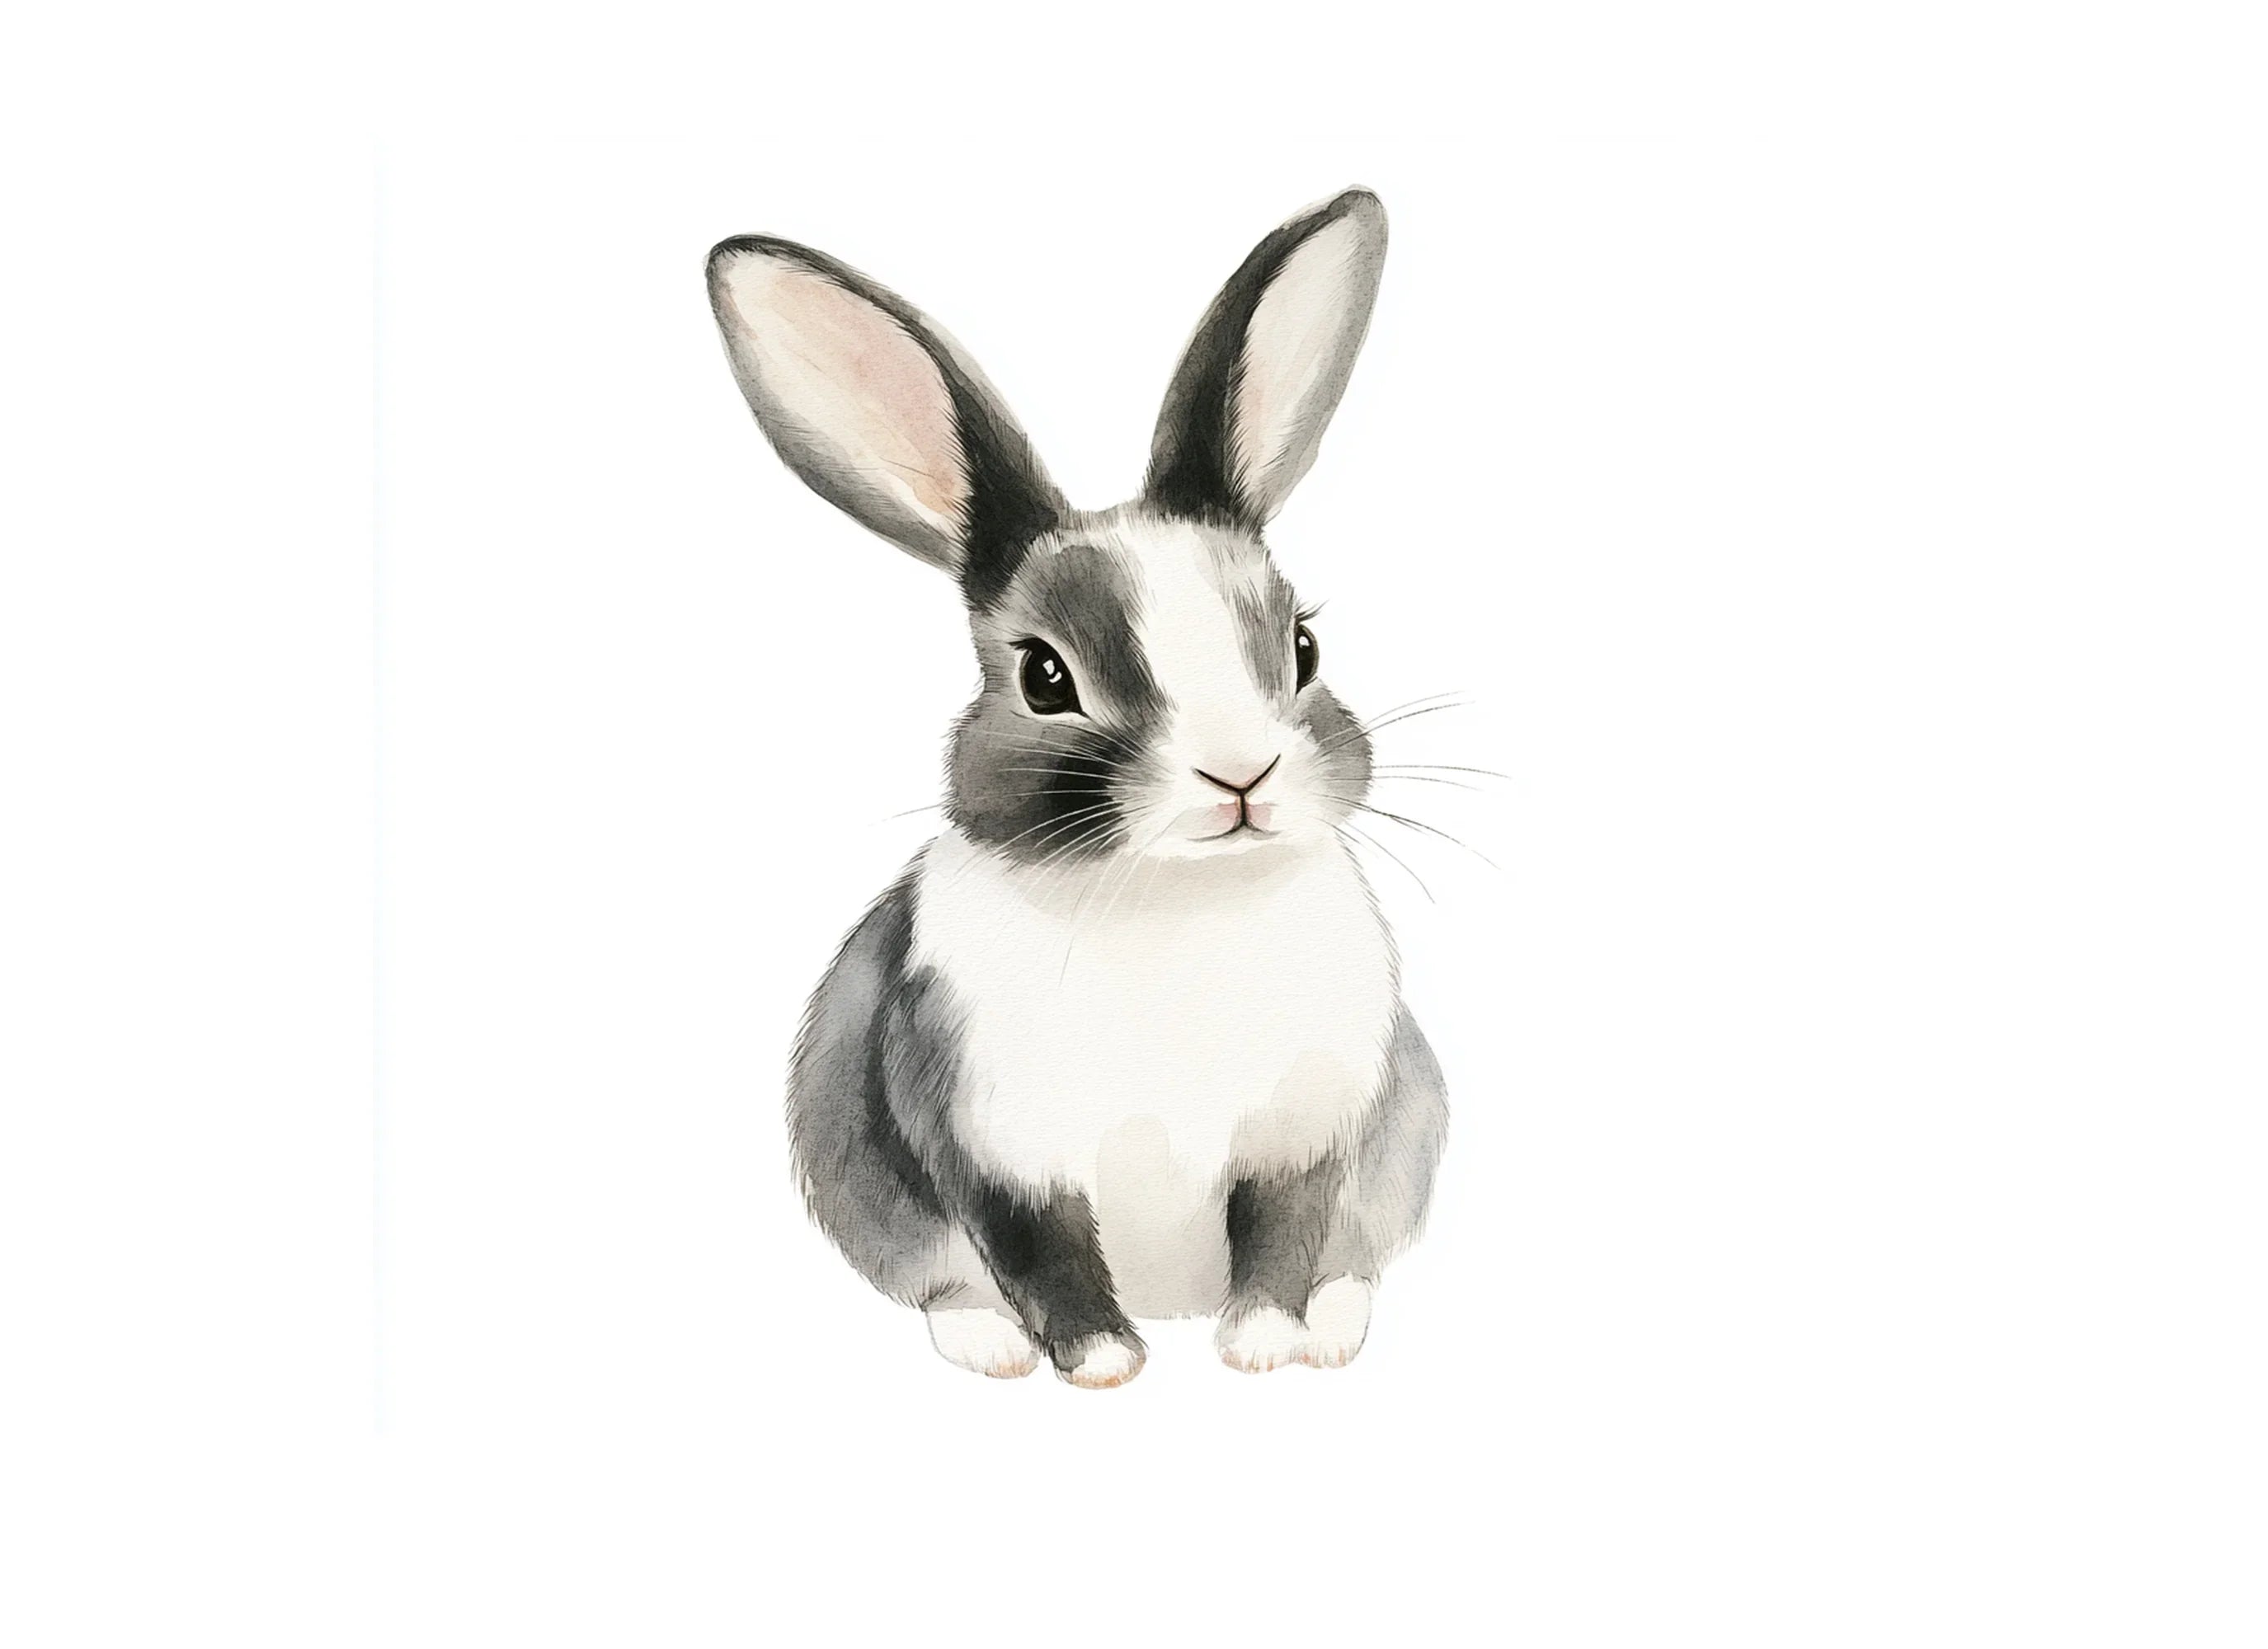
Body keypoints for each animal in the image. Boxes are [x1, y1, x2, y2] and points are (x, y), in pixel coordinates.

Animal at [707, 188, 1446, 1387]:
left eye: (1300, 646)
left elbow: (1282, 1237)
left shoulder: (1304, 1134)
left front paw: (1258, 1350)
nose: (1239, 774)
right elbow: (1042, 1254)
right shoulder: (990, 1143)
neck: (1177, 904)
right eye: (1042, 678)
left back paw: (1334, 1331)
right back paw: (986, 1345)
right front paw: (1102, 1365)